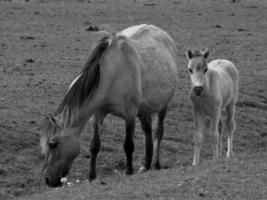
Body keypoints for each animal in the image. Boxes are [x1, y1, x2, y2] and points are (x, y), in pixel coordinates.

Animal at [39, 24, 179, 188]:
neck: (112, 73)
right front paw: (92, 176)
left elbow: (128, 144)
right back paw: (146, 165)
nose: (48, 180)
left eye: (52, 144)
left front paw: (129, 171)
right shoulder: (97, 114)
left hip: (163, 106)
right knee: (147, 132)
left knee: (158, 133)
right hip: (143, 111)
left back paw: (155, 164)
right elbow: (94, 145)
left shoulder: (130, 113)